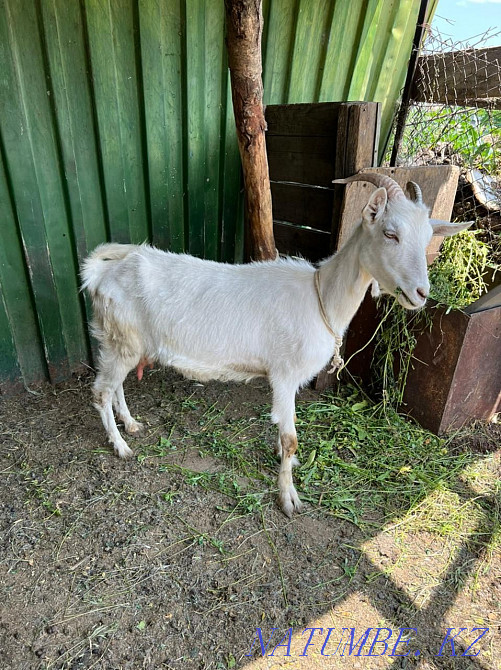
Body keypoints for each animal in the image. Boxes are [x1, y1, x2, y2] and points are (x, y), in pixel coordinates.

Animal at [81, 173, 471, 517]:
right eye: (390, 233)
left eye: (427, 238)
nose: (421, 294)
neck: (320, 298)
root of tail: (100, 274)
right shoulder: (284, 374)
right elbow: (291, 438)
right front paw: (289, 499)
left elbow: (284, 434)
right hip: (121, 340)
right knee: (101, 392)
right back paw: (121, 446)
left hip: (123, 342)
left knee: (116, 387)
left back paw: (131, 424)